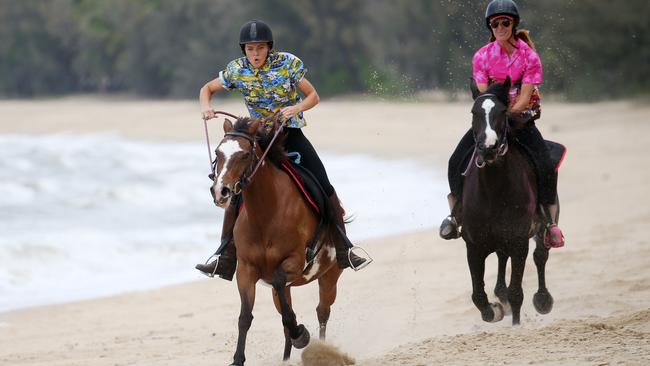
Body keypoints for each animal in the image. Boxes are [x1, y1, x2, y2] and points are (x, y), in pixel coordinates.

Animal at [210, 116, 344, 364]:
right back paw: (287, 358)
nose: (220, 191)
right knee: (287, 312)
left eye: (245, 154)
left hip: (330, 275)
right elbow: (245, 316)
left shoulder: (295, 261)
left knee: (323, 310)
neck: (267, 213)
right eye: (218, 152)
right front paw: (237, 359)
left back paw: (321, 348)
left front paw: (301, 334)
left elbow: (283, 290)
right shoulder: (246, 269)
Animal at [460, 78, 556, 326]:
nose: (488, 147)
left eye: (502, 112)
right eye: (473, 112)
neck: (494, 190)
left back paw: (543, 299)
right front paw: (494, 310)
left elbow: (516, 292)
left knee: (541, 255)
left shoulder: (519, 242)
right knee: (502, 258)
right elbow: (478, 294)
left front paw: (515, 324)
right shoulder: (474, 246)